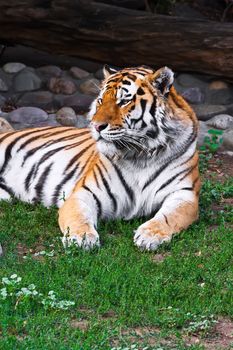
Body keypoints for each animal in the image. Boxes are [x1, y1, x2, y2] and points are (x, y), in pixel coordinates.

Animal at [0, 65, 200, 250]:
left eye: (123, 101)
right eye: (101, 100)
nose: (95, 126)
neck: (141, 154)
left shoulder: (184, 194)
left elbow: (168, 217)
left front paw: (150, 235)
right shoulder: (84, 193)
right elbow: (78, 217)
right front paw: (82, 238)